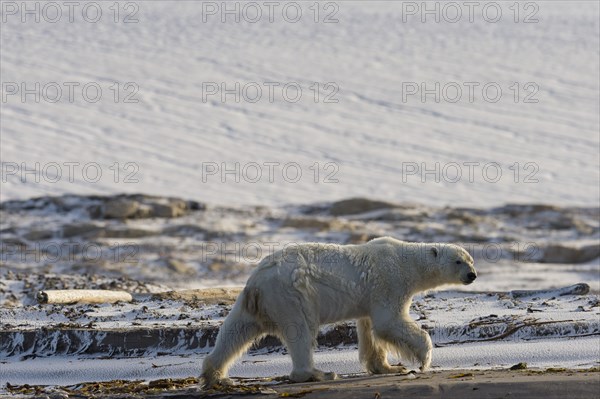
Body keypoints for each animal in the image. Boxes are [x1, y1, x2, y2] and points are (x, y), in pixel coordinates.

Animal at [202, 238, 474, 388]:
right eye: (458, 261)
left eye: (470, 259)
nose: (472, 275)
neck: (407, 261)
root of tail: (256, 281)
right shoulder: (389, 281)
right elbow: (389, 322)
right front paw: (423, 359)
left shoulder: (370, 297)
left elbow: (370, 329)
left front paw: (387, 368)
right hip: (292, 295)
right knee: (300, 331)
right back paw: (318, 373)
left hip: (256, 302)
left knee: (236, 331)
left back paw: (215, 375)